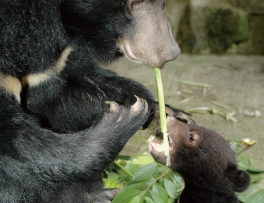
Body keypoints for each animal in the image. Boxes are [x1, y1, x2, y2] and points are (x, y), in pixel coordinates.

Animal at [0, 0, 184, 202]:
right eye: (135, 4)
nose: (172, 53)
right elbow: (19, 141)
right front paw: (123, 118)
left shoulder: (54, 60)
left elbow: (67, 92)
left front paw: (166, 115)